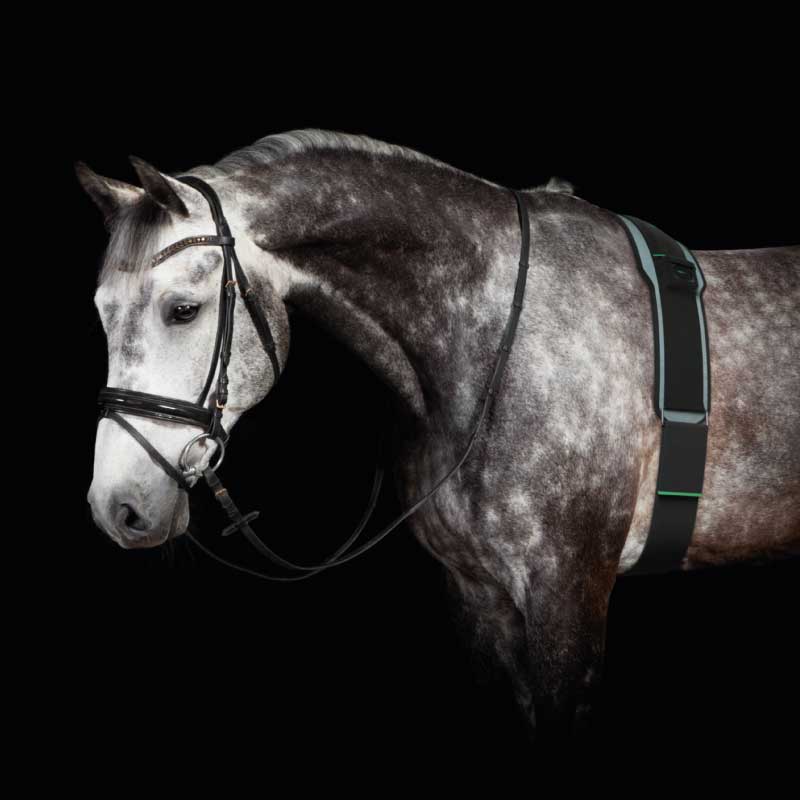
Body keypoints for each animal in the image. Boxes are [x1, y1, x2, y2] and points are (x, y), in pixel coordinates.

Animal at [80, 128, 800, 743]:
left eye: (183, 310)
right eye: (102, 313)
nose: (119, 506)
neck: (497, 341)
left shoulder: (568, 597)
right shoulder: (477, 598)